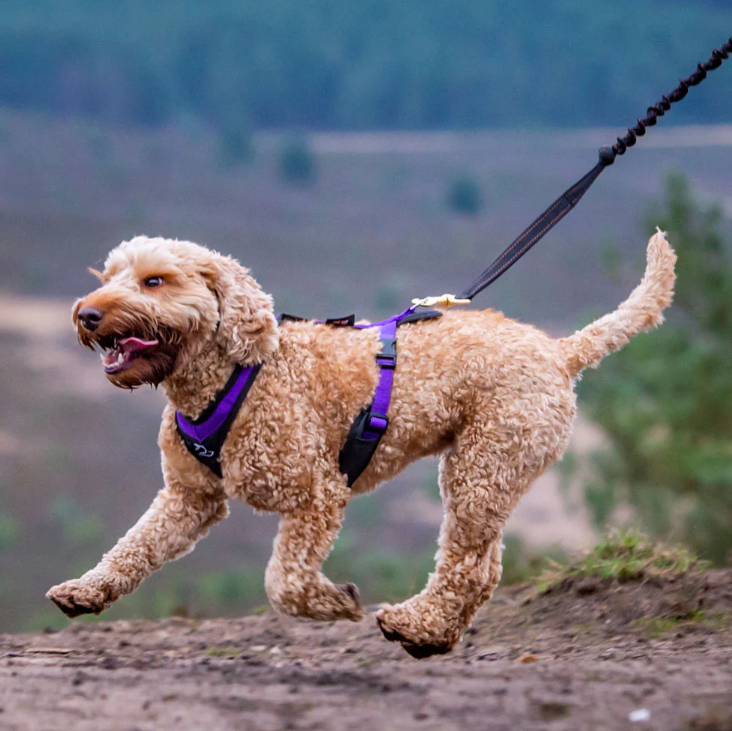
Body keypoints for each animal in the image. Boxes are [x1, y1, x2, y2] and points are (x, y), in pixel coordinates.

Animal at [45, 233, 676, 656]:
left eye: (155, 280)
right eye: (108, 274)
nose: (88, 313)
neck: (232, 375)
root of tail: (560, 352)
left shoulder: (316, 494)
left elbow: (284, 582)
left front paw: (335, 601)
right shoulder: (189, 497)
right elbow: (135, 547)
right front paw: (87, 590)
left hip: (484, 465)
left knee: (468, 567)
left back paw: (416, 626)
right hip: (488, 472)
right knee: (485, 566)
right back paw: (435, 634)